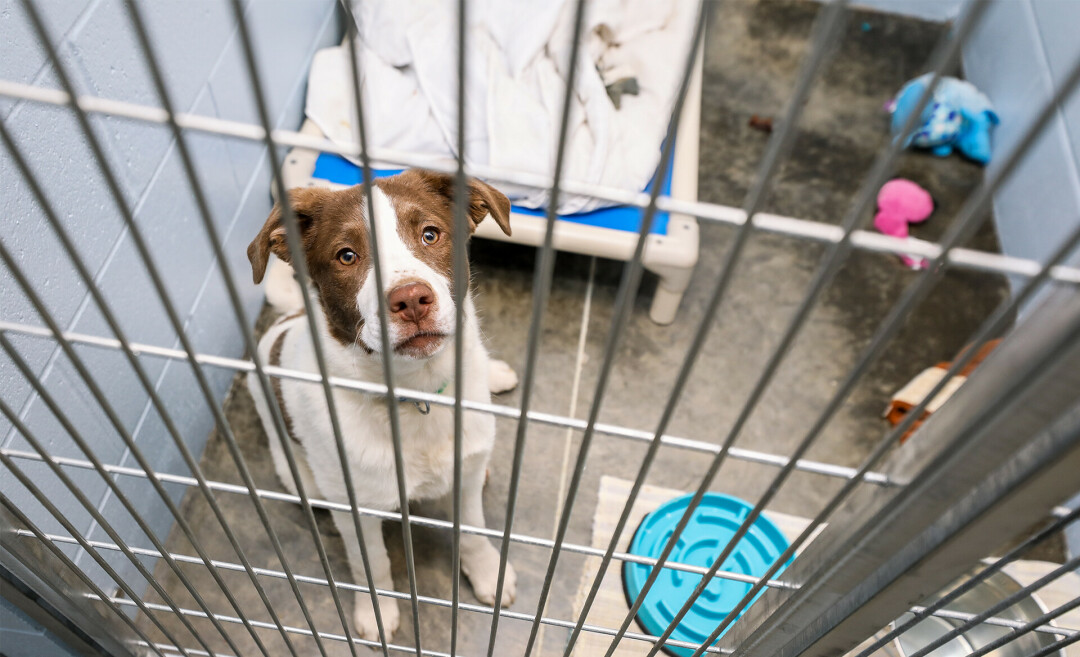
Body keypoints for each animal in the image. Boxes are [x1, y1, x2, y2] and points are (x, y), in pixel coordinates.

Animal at [247, 170, 516, 639]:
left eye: (430, 234)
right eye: (346, 256)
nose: (410, 300)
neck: (417, 394)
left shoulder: (466, 472)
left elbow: (475, 530)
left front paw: (486, 574)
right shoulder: (356, 511)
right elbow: (370, 563)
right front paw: (376, 613)